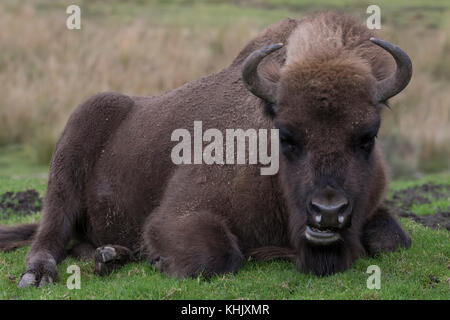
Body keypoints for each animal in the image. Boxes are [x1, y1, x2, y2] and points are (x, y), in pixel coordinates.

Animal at [0, 11, 412, 288]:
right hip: (65, 171)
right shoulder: (177, 215)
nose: (327, 212)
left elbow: (394, 239)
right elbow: (218, 254)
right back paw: (39, 275)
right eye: (286, 135)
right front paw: (159, 261)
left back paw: (110, 256)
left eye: (368, 136)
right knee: (49, 236)